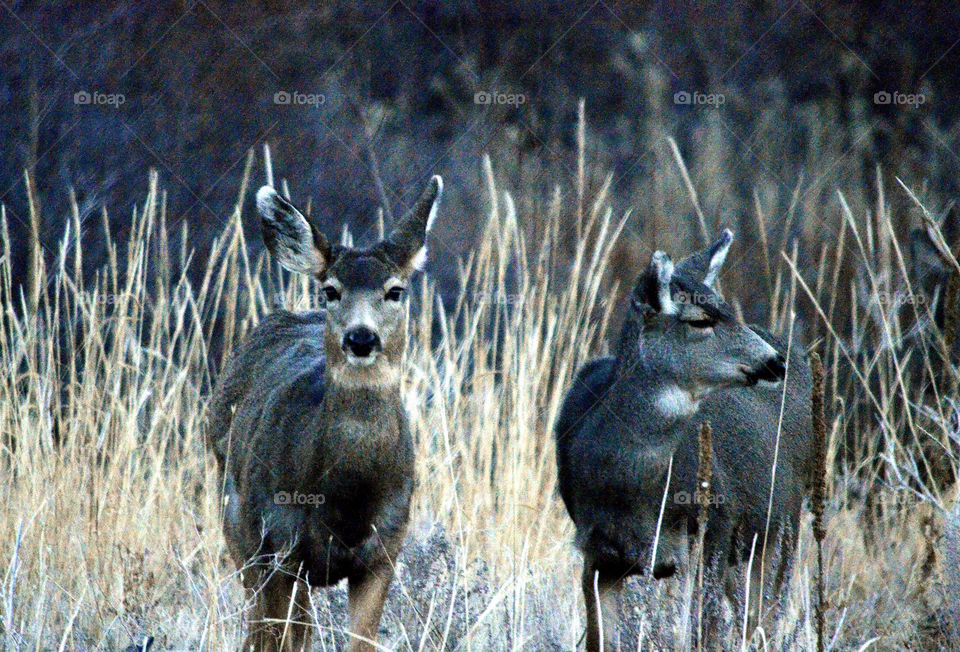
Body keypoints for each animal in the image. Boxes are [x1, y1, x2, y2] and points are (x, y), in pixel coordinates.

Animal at [208, 175, 443, 651]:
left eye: (395, 290)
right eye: (332, 289)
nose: (361, 337)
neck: (345, 502)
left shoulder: (385, 551)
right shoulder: (277, 544)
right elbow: (275, 637)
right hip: (238, 524)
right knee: (261, 631)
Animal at [555, 230, 814, 651]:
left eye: (727, 309)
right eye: (699, 320)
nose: (775, 361)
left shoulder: (715, 529)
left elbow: (703, 633)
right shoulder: (596, 552)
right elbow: (601, 639)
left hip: (783, 525)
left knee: (765, 618)